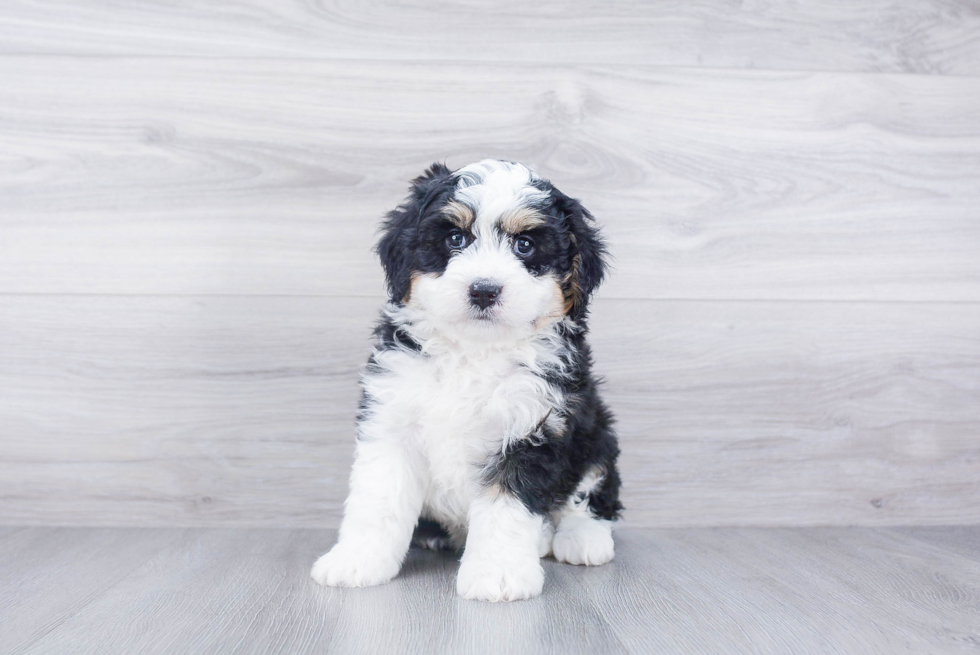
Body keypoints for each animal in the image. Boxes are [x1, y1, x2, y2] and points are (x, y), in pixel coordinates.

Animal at [310, 160, 624, 604]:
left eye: (524, 245)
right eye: (455, 238)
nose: (484, 290)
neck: (474, 350)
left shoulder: (535, 425)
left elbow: (506, 506)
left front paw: (498, 574)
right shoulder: (392, 420)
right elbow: (379, 498)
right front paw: (357, 560)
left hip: (597, 435)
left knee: (592, 493)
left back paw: (580, 540)